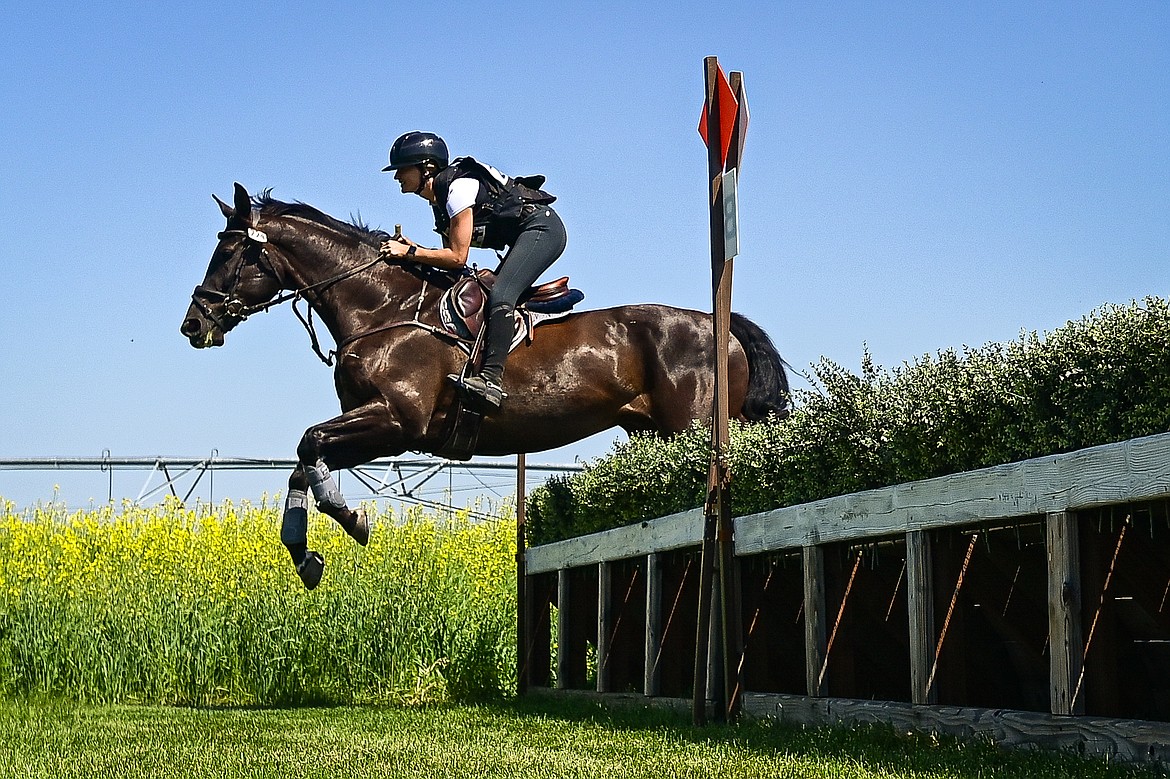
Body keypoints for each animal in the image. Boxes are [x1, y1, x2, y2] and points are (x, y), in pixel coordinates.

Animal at [180, 180, 786, 582]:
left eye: (229, 252)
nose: (194, 325)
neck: (382, 309)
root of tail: (721, 325)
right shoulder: (381, 430)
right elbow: (305, 458)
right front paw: (306, 553)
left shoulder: (398, 423)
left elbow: (309, 445)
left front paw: (351, 519)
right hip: (655, 432)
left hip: (692, 427)